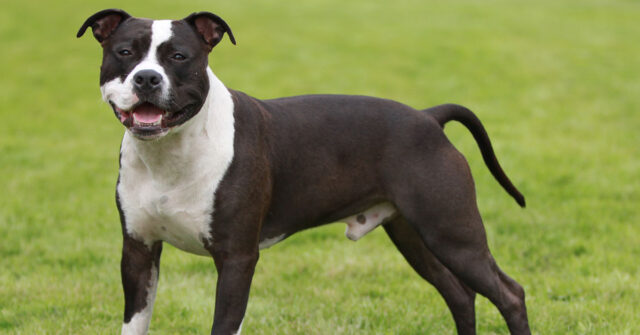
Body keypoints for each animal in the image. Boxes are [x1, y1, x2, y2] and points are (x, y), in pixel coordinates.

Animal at [77, 8, 532, 335]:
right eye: (125, 52)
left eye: (178, 57)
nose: (147, 78)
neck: (170, 153)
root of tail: (428, 116)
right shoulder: (139, 251)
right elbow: (135, 324)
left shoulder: (237, 259)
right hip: (416, 236)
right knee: (460, 295)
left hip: (452, 234)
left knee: (509, 294)